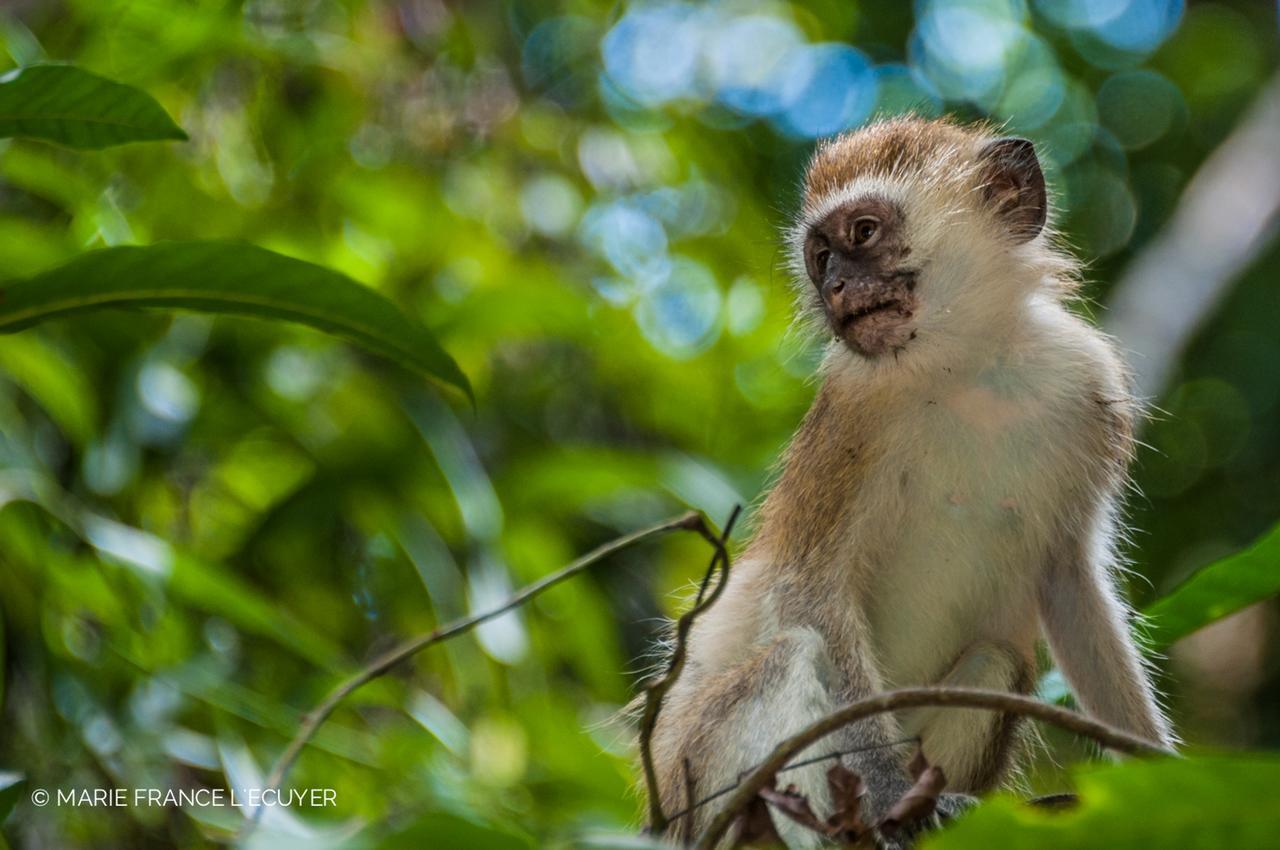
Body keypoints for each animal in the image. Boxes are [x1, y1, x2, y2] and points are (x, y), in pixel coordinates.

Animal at [655, 116, 1172, 844]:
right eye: (819, 257)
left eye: (863, 232)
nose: (835, 289)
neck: (968, 367)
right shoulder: (852, 416)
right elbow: (810, 591)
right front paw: (890, 791)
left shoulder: (1088, 385)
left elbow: (1070, 583)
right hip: (703, 784)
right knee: (789, 654)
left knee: (996, 660)